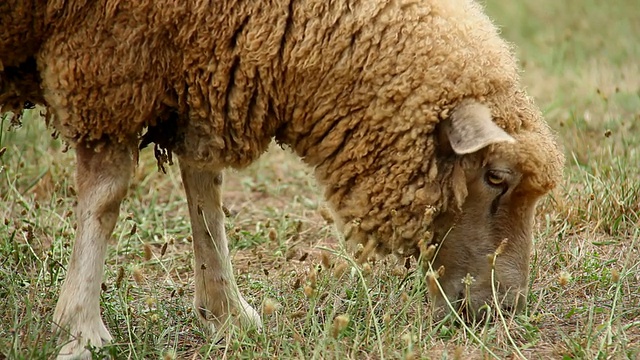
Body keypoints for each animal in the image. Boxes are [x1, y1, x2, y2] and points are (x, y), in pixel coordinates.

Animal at [0, 0, 564, 358]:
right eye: (496, 176)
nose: (508, 306)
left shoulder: (199, 70)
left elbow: (205, 189)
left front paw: (227, 313)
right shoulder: (107, 60)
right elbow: (105, 195)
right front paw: (81, 329)